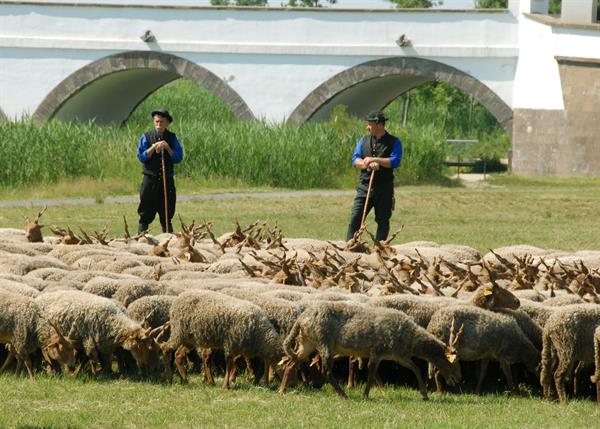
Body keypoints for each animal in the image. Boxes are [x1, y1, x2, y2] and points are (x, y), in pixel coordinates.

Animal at [278, 300, 462, 400]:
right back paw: (343, 394)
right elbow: (371, 372)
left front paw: (424, 395)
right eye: (452, 363)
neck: (410, 339)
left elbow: (415, 368)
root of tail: (301, 319)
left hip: (308, 342)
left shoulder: (398, 355)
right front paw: (366, 394)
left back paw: (282, 390)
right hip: (324, 342)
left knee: (291, 363)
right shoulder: (377, 351)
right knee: (326, 371)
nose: (458, 379)